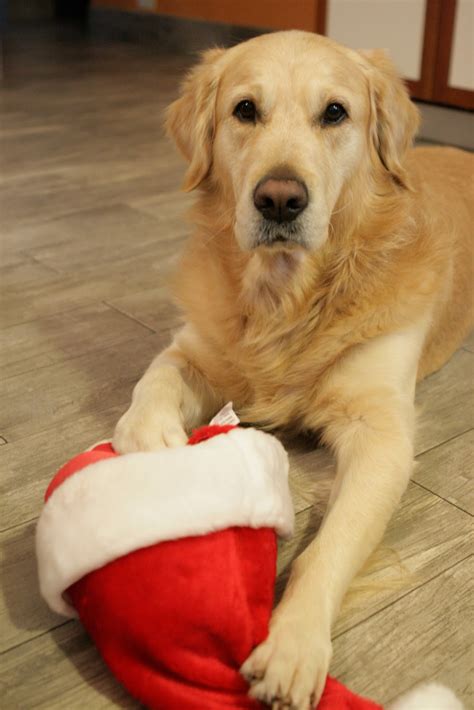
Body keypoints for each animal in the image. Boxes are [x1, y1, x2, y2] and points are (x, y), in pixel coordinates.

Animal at [115, 32, 474, 710]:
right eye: (245, 110)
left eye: (335, 113)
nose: (279, 199)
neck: (289, 294)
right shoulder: (195, 348)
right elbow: (155, 378)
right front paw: (148, 439)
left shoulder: (381, 435)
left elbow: (326, 551)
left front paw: (293, 644)